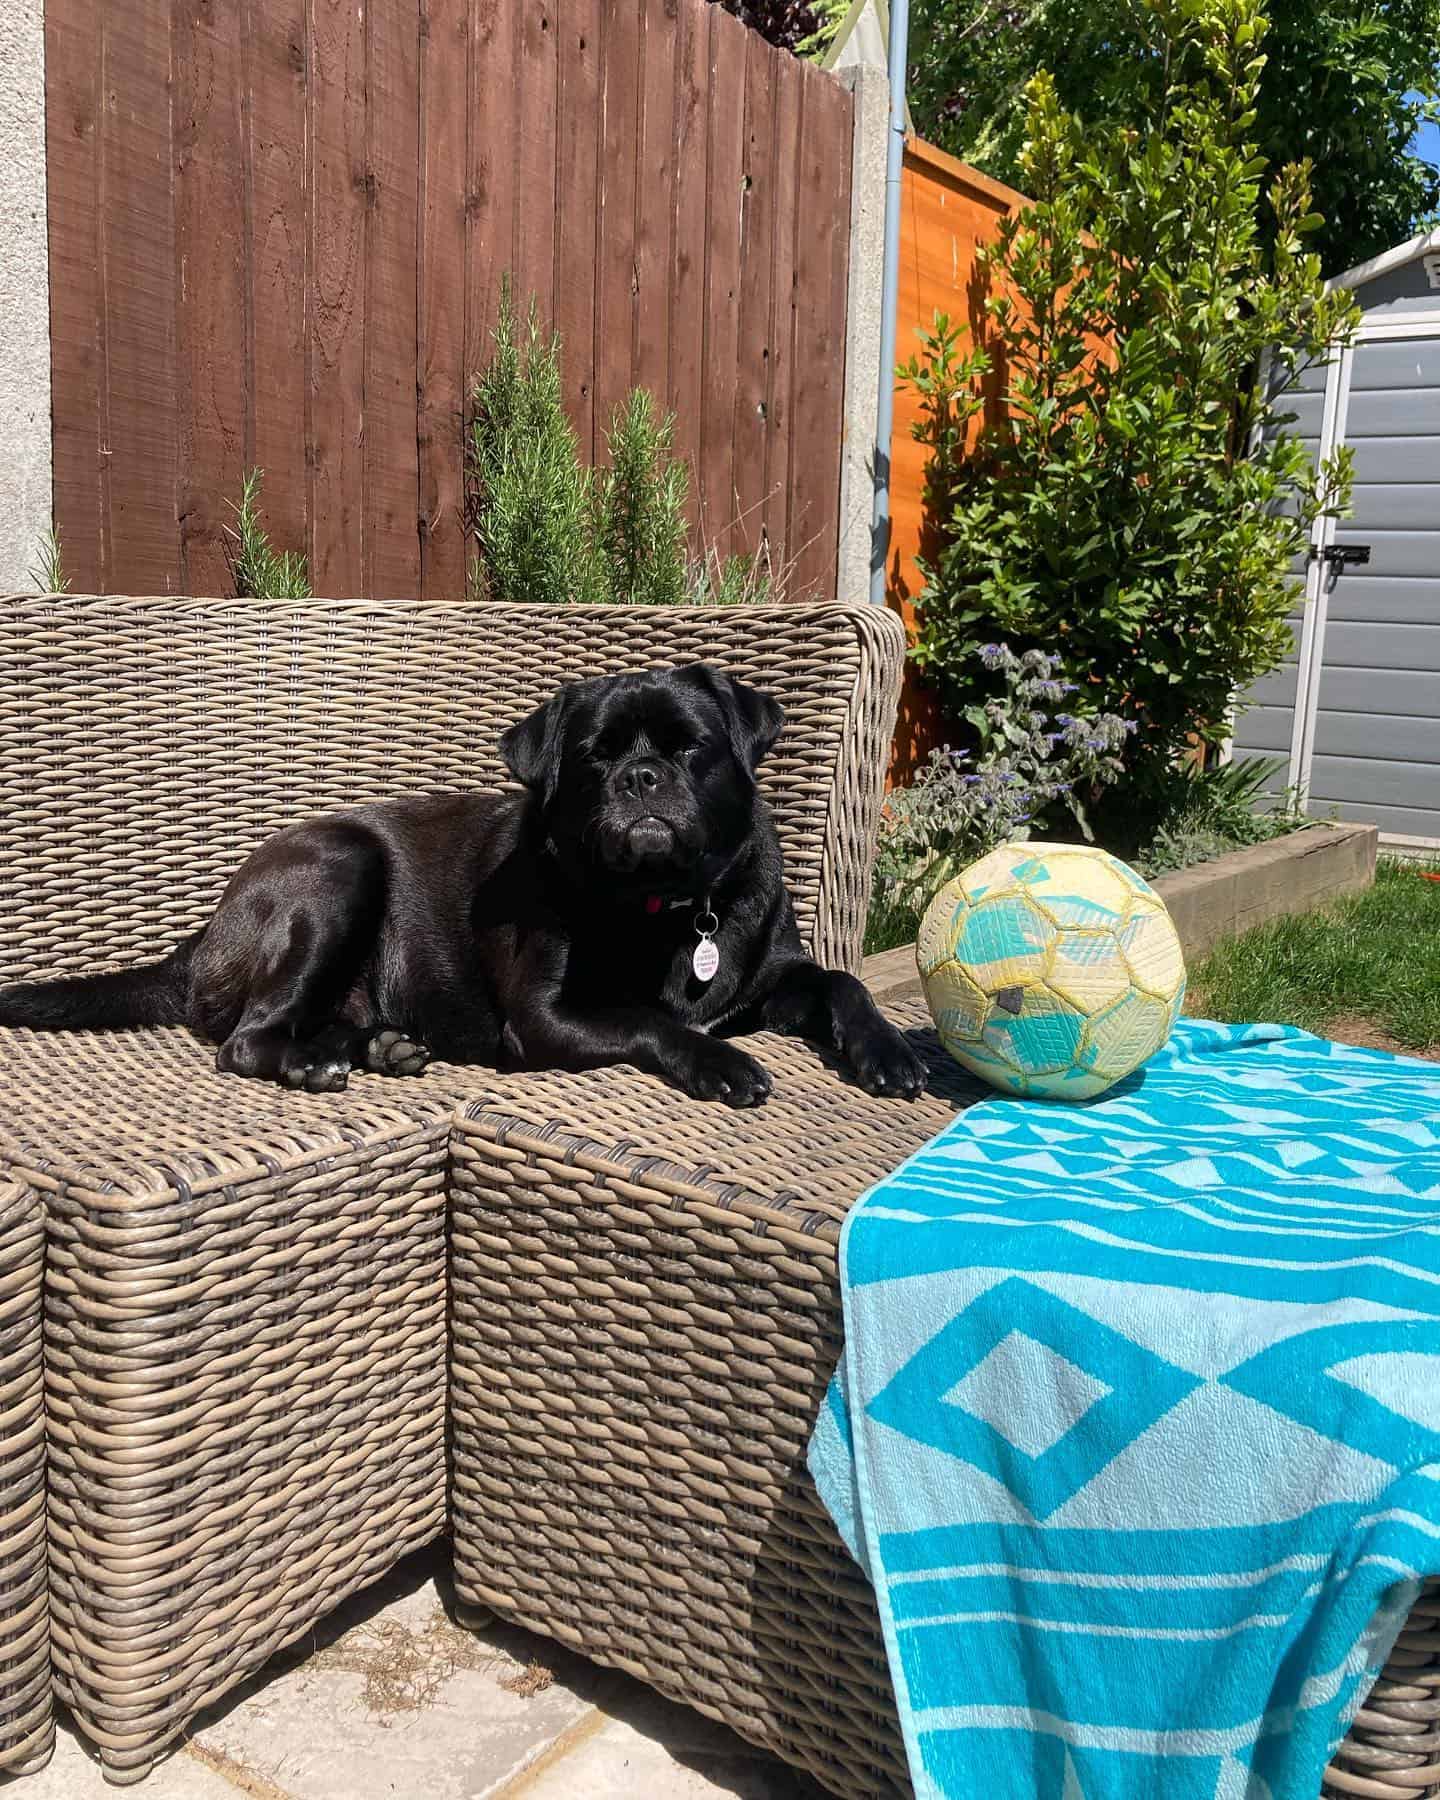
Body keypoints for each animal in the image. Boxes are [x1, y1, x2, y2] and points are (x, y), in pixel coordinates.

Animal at [0, 666, 921, 1101]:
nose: (641, 778)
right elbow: (649, 1021)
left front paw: (890, 1052)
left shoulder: (777, 980)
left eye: (691, 747)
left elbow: (842, 983)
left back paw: (374, 1047)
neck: (672, 909)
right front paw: (720, 1063)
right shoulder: (549, 1018)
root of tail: (204, 932)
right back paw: (314, 1063)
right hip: (340, 869)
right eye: (593, 757)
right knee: (245, 1041)